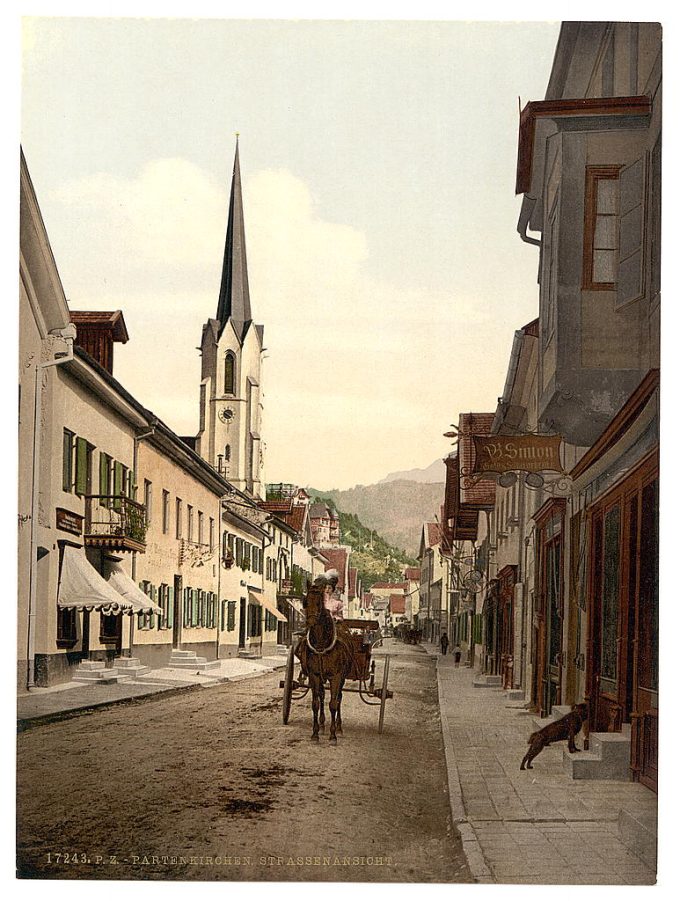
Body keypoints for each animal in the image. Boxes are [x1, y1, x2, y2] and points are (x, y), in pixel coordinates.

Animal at [294, 580, 354, 740]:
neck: (322, 645)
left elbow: (333, 703)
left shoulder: (336, 677)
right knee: (322, 695)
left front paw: (333, 734)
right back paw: (321, 724)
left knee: (339, 698)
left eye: (319, 603)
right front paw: (315, 732)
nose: (310, 623)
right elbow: (315, 703)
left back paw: (338, 727)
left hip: (342, 677)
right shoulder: (314, 675)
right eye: (305, 601)